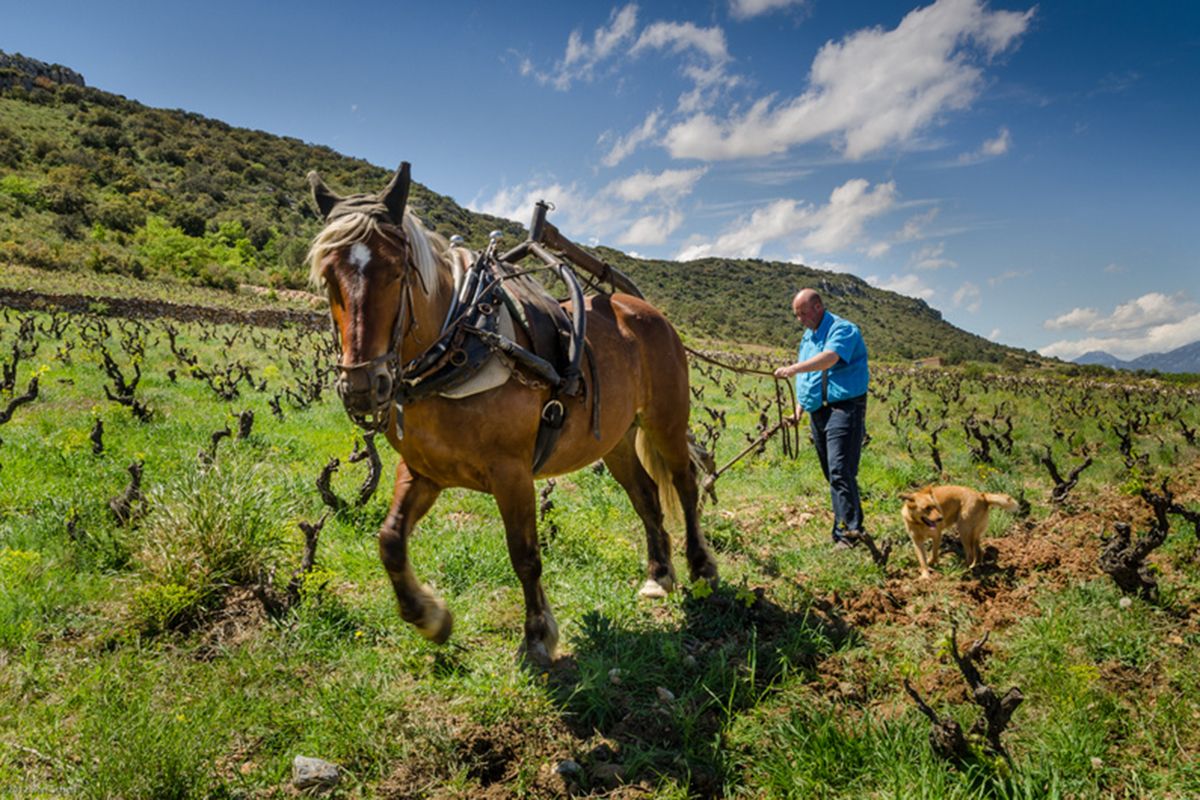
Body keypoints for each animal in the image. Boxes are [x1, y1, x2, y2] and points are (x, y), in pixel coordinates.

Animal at [309, 160, 720, 662]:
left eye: (396, 271)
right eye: (328, 276)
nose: (363, 387)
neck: (461, 342)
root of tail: (645, 311)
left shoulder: (512, 473)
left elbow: (524, 554)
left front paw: (538, 634)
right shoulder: (424, 472)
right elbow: (389, 540)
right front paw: (429, 616)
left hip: (666, 421)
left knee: (684, 483)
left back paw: (701, 569)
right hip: (617, 438)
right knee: (645, 495)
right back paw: (659, 573)